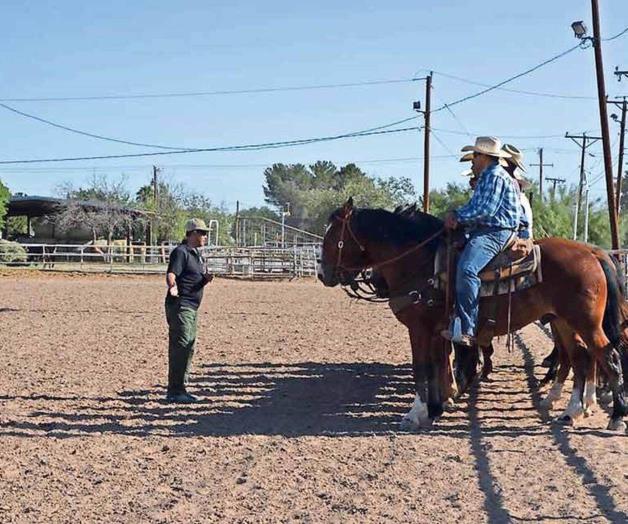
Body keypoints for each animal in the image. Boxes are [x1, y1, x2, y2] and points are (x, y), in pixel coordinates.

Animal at [318, 199, 628, 432]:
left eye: (333, 237)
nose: (322, 274)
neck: (420, 261)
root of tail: (593, 253)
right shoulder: (437, 331)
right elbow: (437, 366)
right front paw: (436, 408)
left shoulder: (419, 328)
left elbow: (423, 368)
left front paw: (415, 413)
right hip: (564, 323)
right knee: (580, 358)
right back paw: (571, 411)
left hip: (585, 323)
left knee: (607, 357)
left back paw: (616, 417)